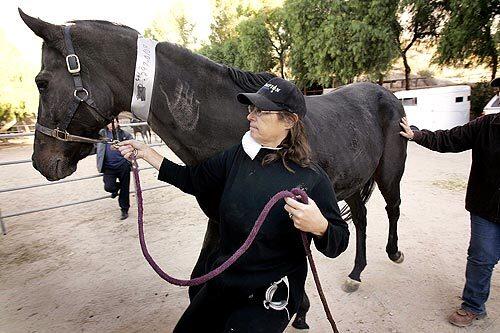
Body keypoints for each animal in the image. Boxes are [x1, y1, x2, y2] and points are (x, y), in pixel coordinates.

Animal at [20, 10, 406, 330]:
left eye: (41, 81)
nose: (41, 161)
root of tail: (384, 93)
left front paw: (300, 311)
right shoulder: (218, 220)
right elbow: (198, 282)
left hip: (388, 175)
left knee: (392, 208)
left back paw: (393, 253)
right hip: (354, 183)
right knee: (360, 219)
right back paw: (356, 272)